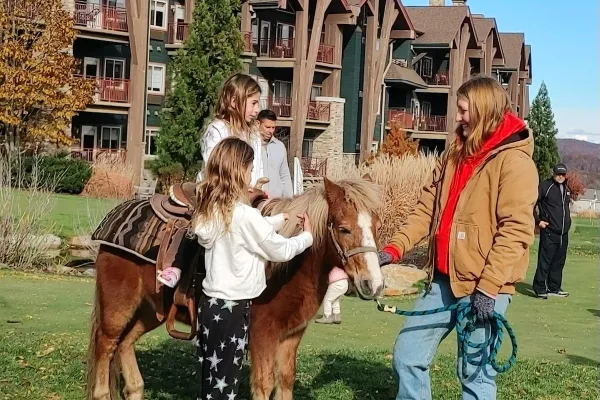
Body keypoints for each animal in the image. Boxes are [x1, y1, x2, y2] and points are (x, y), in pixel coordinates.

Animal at [84, 177, 384, 400]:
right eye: (344, 229)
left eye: (376, 226)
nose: (374, 284)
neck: (286, 265)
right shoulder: (263, 337)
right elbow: (264, 385)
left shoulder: (291, 336)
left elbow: (285, 382)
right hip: (117, 308)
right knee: (106, 345)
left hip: (150, 311)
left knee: (125, 345)